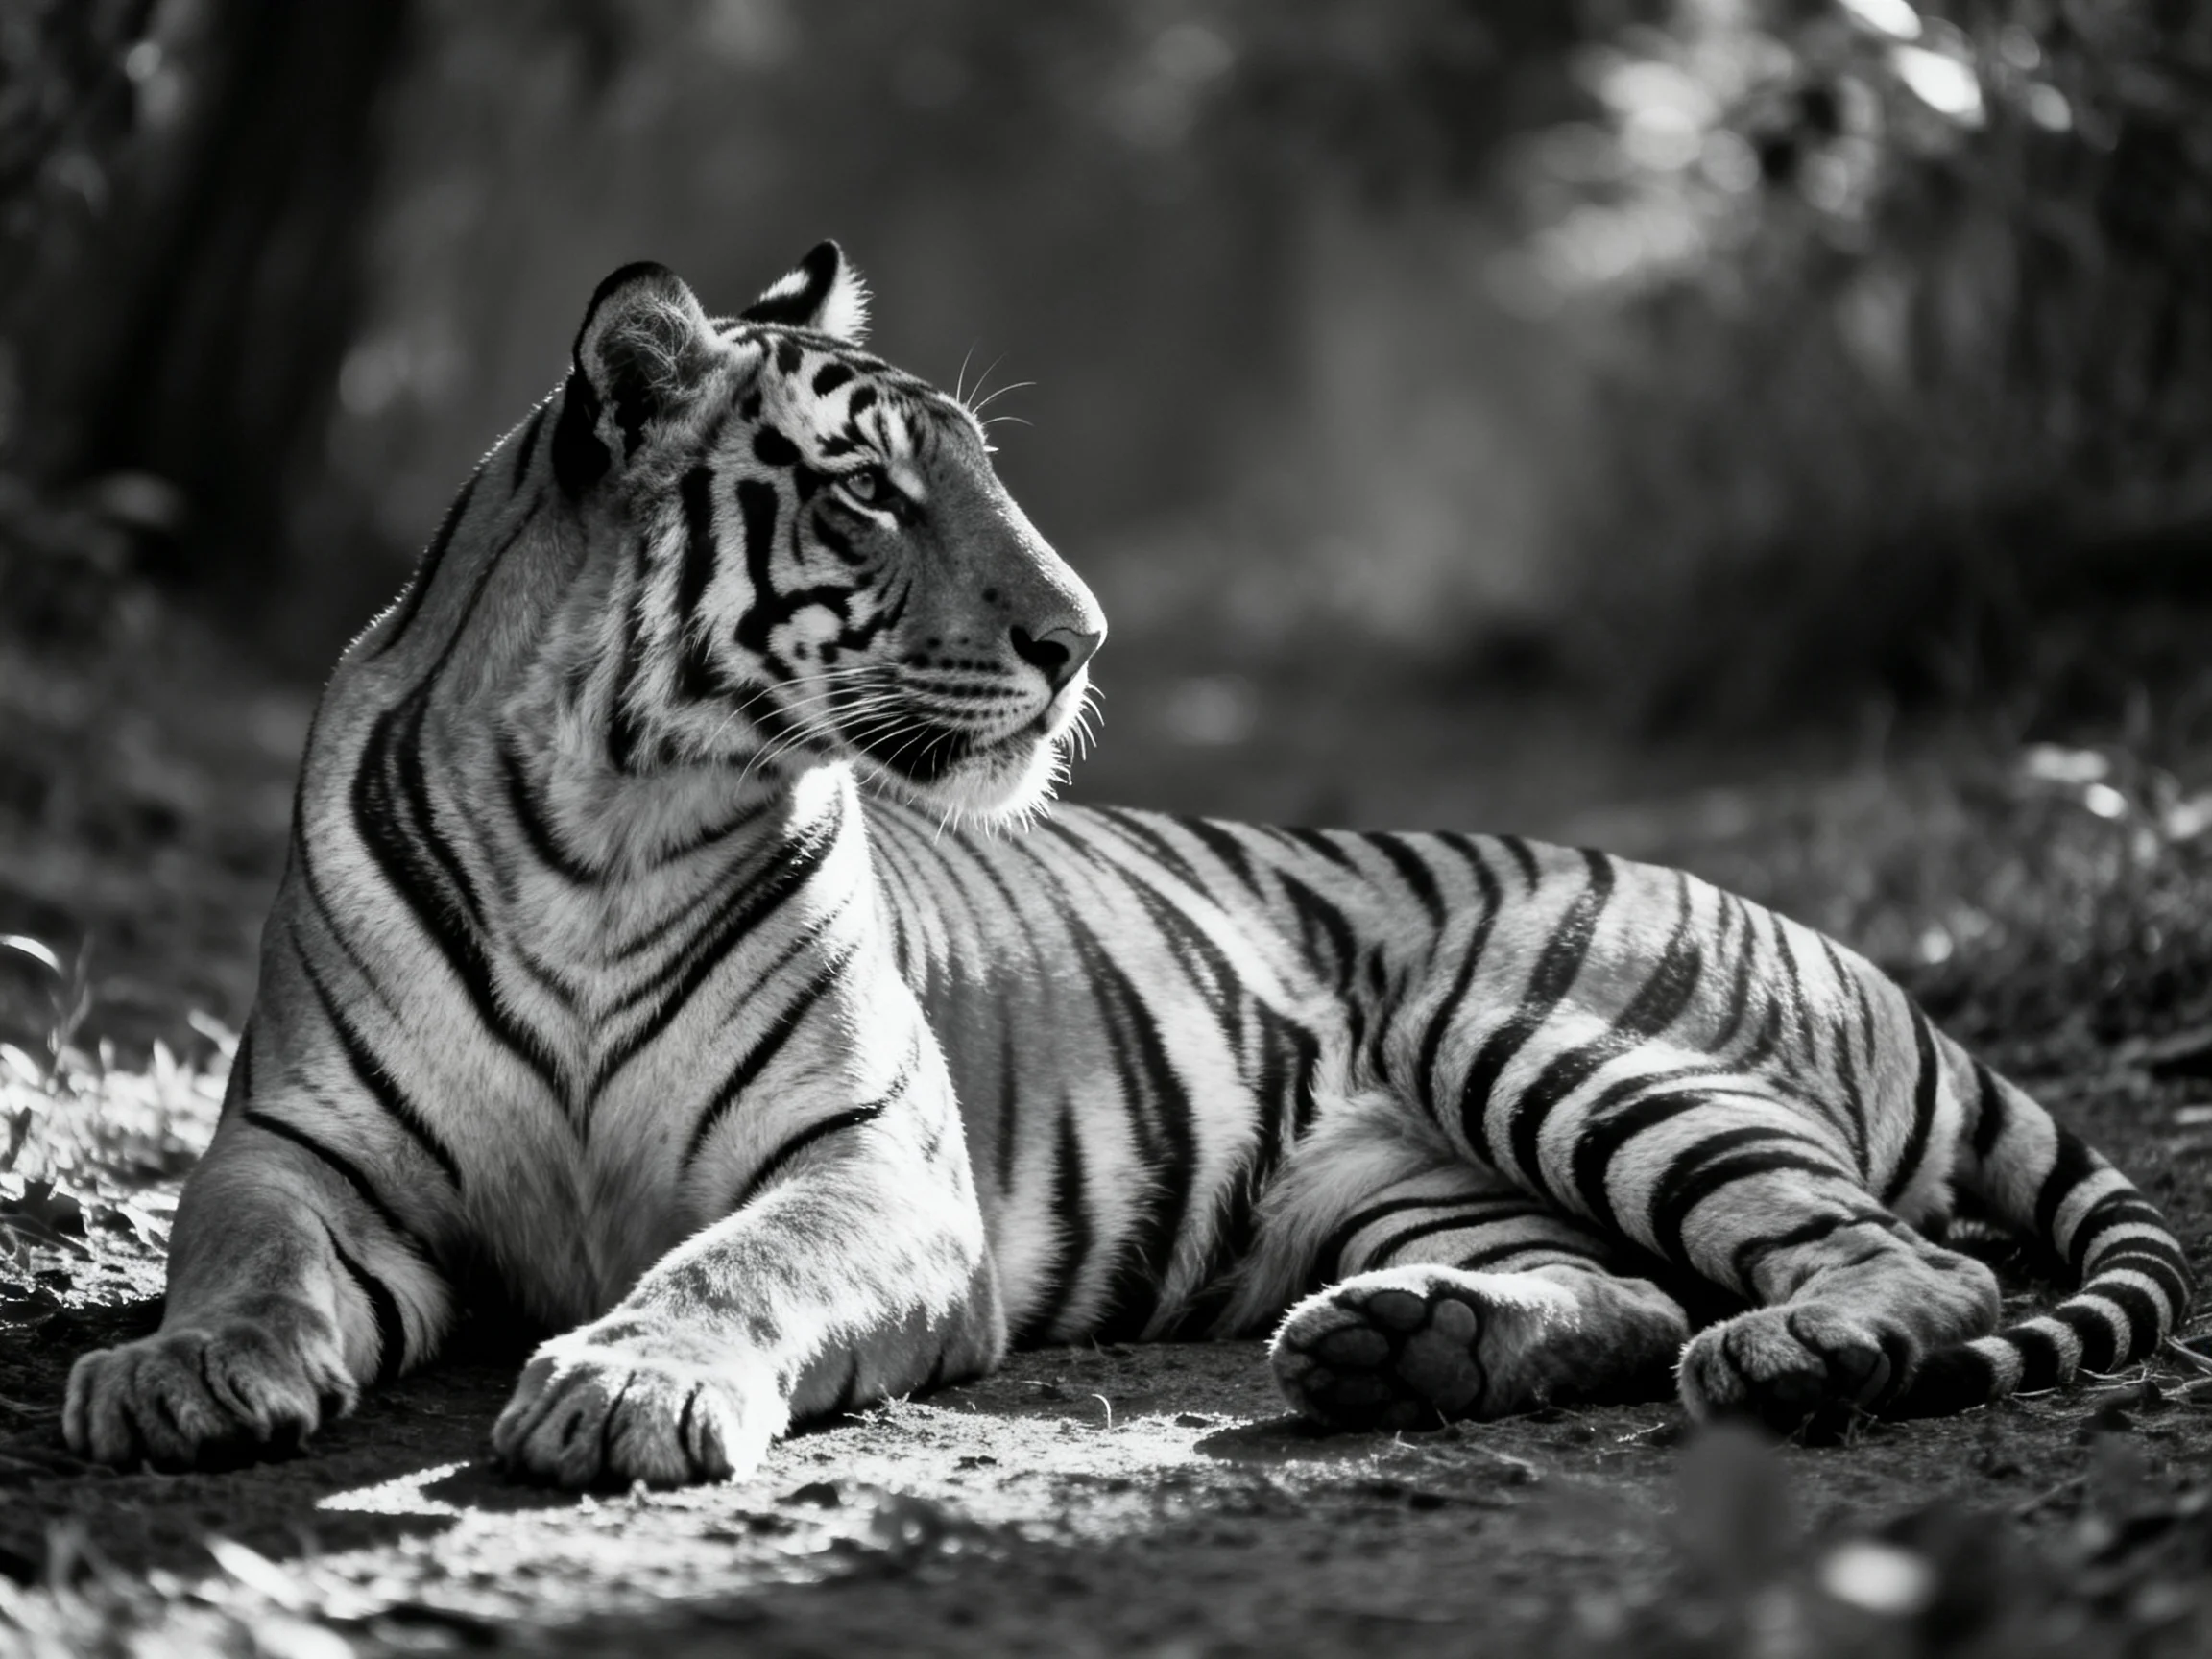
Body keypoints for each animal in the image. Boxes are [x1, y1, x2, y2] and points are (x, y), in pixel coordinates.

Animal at [63, 245, 2192, 1487]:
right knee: (1628, 1292)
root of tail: (1865, 960)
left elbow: (735, 1258)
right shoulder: (297, 1147)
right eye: (867, 489)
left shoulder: (871, 1167)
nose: (1083, 637)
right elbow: (234, 1254)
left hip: (1558, 1039)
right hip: (1423, 1176)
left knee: (1889, 1260)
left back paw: (1790, 1350)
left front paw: (632, 1383)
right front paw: (177, 1377)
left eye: (979, 469)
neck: (604, 814)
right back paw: (1406, 1345)